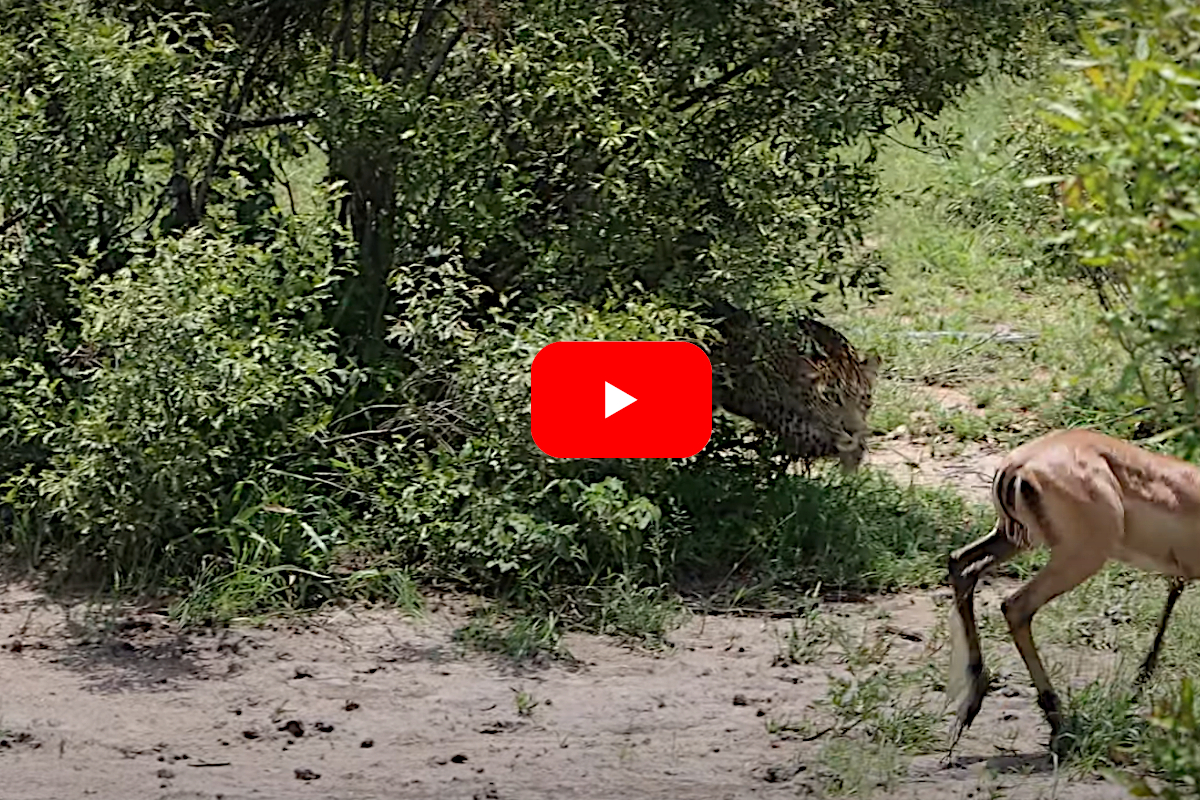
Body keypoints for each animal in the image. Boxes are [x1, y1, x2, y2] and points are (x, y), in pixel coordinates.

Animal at [946, 428, 1200, 754]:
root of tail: (1017, 466)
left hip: (1015, 538)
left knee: (961, 565)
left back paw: (972, 703)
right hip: (1080, 557)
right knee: (1014, 605)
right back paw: (1058, 725)